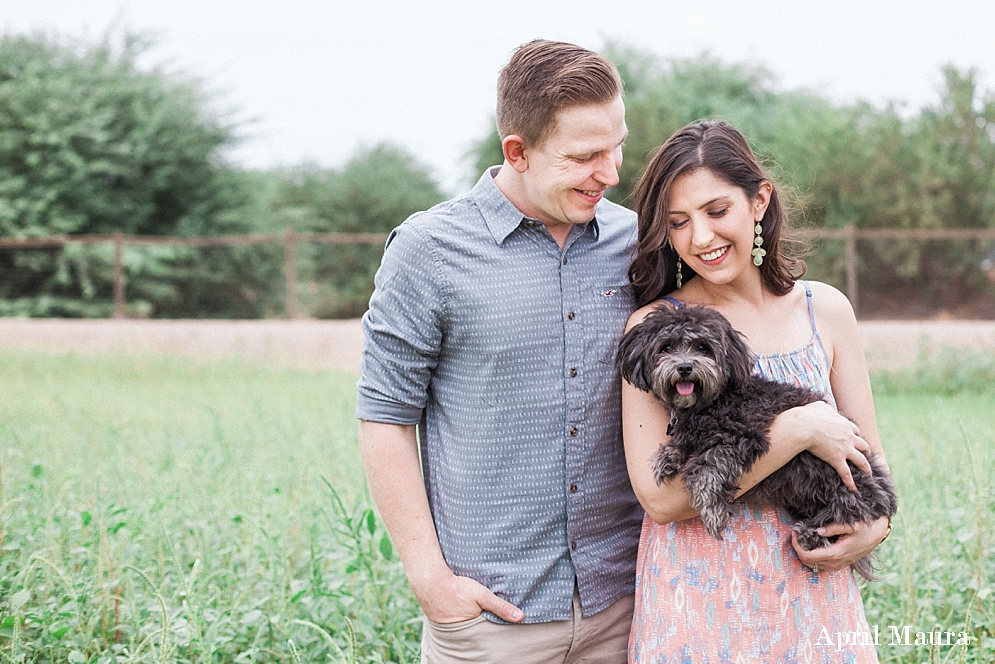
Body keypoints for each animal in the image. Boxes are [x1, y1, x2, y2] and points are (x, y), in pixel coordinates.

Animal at [620, 304, 900, 580]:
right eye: (666, 347)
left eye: (702, 347)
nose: (685, 367)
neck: (713, 401)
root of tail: (887, 497)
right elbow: (683, 442)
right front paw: (668, 457)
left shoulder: (743, 436)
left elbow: (706, 469)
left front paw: (712, 510)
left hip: (848, 490)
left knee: (844, 516)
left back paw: (812, 536)